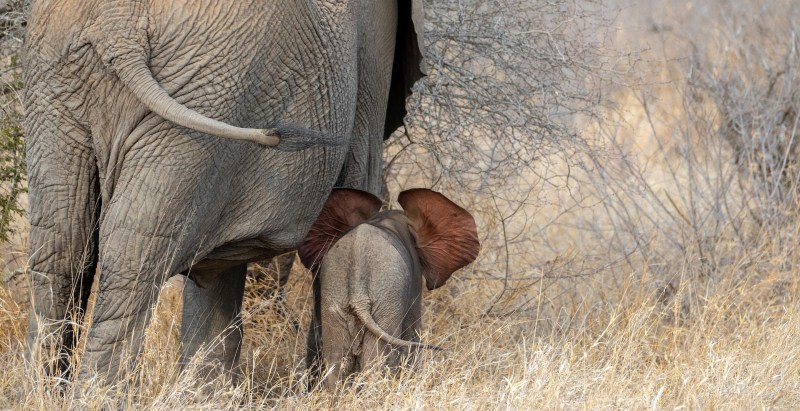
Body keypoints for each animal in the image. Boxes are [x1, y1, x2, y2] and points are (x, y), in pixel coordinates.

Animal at [23, 0, 426, 382]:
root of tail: (118, 21)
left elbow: (215, 273)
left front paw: (204, 391)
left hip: (64, 83)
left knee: (62, 251)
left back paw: (46, 394)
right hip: (212, 90)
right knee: (131, 262)